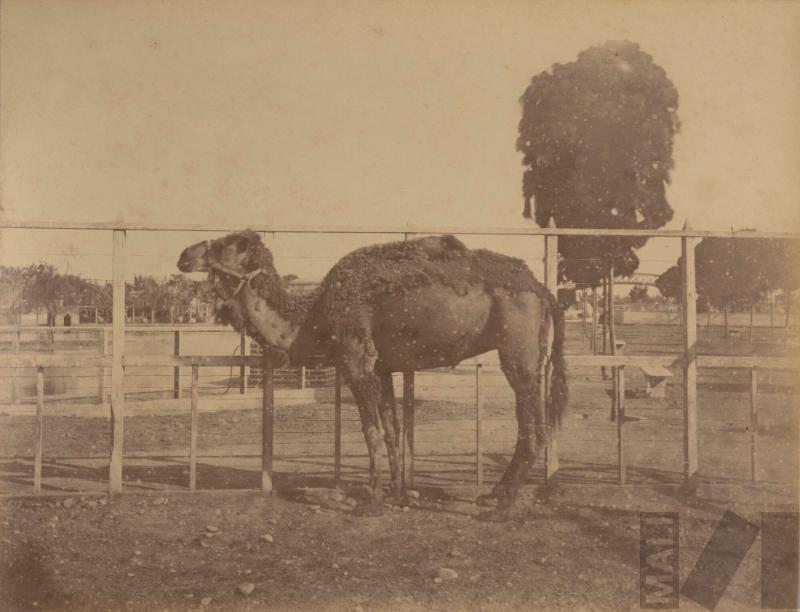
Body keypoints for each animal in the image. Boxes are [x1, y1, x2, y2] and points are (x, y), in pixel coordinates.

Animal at [178, 232, 564, 520]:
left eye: (224, 244)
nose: (184, 254)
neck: (313, 316)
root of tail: (542, 289)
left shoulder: (357, 361)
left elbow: (371, 431)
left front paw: (372, 501)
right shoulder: (383, 368)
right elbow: (393, 430)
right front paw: (397, 494)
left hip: (518, 352)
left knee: (533, 429)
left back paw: (501, 508)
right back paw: (493, 495)